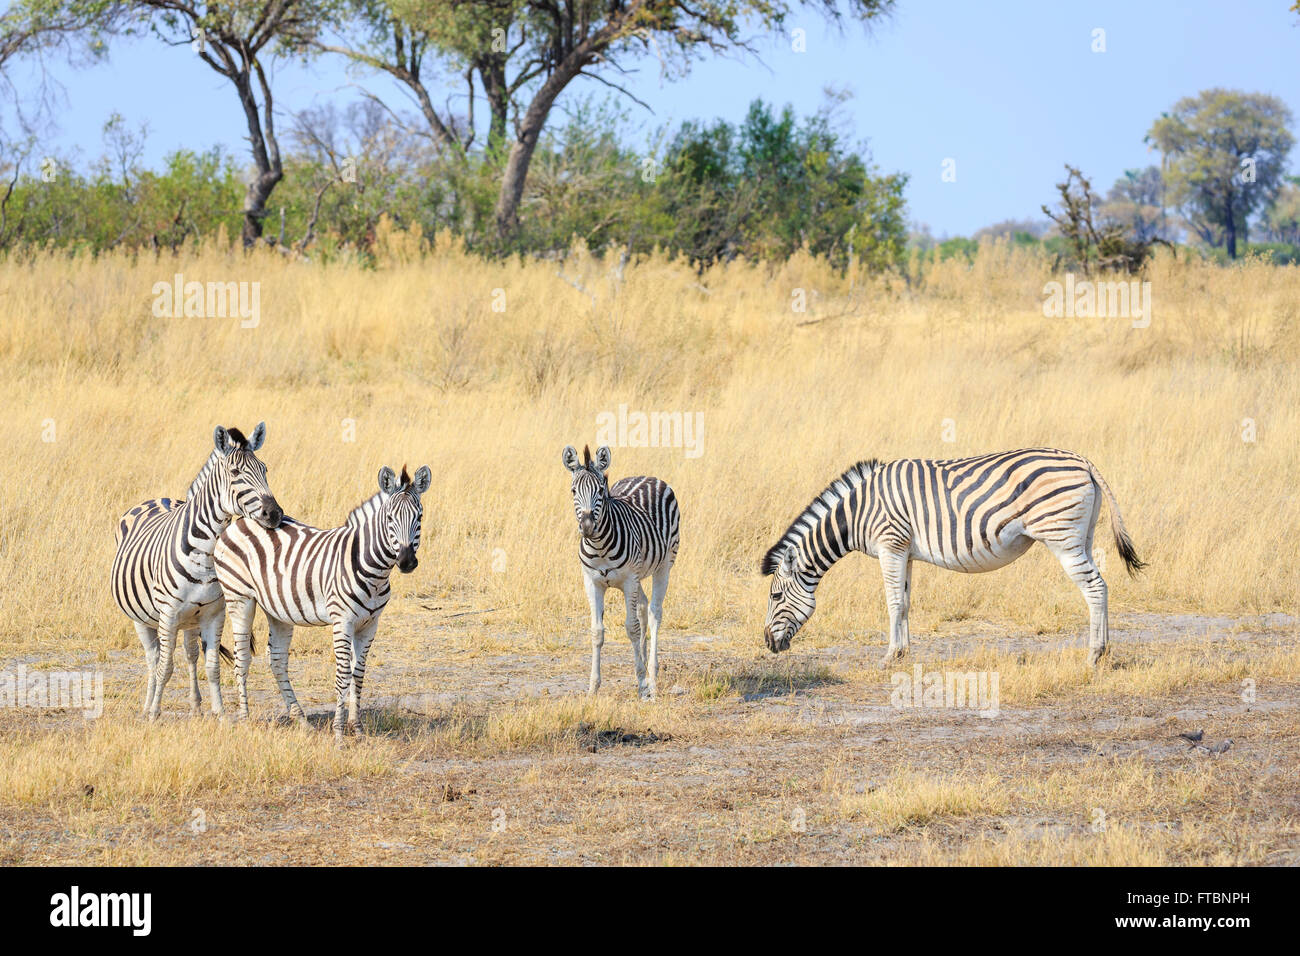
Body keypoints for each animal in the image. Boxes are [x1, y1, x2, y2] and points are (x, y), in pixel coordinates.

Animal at [112, 421, 284, 723]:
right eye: (235, 473)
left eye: (265, 469)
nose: (273, 514)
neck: (206, 553)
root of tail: (159, 498)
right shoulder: (168, 613)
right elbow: (165, 667)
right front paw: (155, 714)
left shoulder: (215, 614)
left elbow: (212, 666)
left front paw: (221, 715)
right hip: (141, 618)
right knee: (153, 659)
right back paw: (147, 706)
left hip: (190, 620)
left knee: (191, 655)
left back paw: (195, 705)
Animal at [214, 463, 431, 738]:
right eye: (390, 519)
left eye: (419, 518)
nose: (406, 561)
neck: (374, 572)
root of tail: (242, 520)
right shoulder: (342, 621)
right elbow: (342, 675)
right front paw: (339, 732)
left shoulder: (370, 624)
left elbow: (358, 674)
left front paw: (357, 729)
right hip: (239, 598)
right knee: (241, 658)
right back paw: (244, 720)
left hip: (277, 609)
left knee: (277, 660)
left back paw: (301, 720)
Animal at [561, 444, 681, 697]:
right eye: (573, 491)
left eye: (600, 491)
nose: (587, 527)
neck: (599, 547)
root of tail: (648, 476)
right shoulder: (592, 582)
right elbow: (597, 631)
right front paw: (593, 687)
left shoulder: (628, 581)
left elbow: (632, 628)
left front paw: (642, 683)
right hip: (640, 573)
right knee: (644, 606)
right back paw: (644, 663)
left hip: (664, 566)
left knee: (655, 613)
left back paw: (652, 675)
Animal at [759, 447, 1149, 665]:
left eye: (775, 596)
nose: (768, 645)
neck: (858, 512)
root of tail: (1082, 460)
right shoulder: (906, 551)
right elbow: (905, 602)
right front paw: (904, 653)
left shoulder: (890, 544)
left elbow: (892, 603)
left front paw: (888, 656)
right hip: (1083, 536)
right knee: (1103, 586)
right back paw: (1106, 651)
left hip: (1062, 537)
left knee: (1094, 588)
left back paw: (1094, 655)